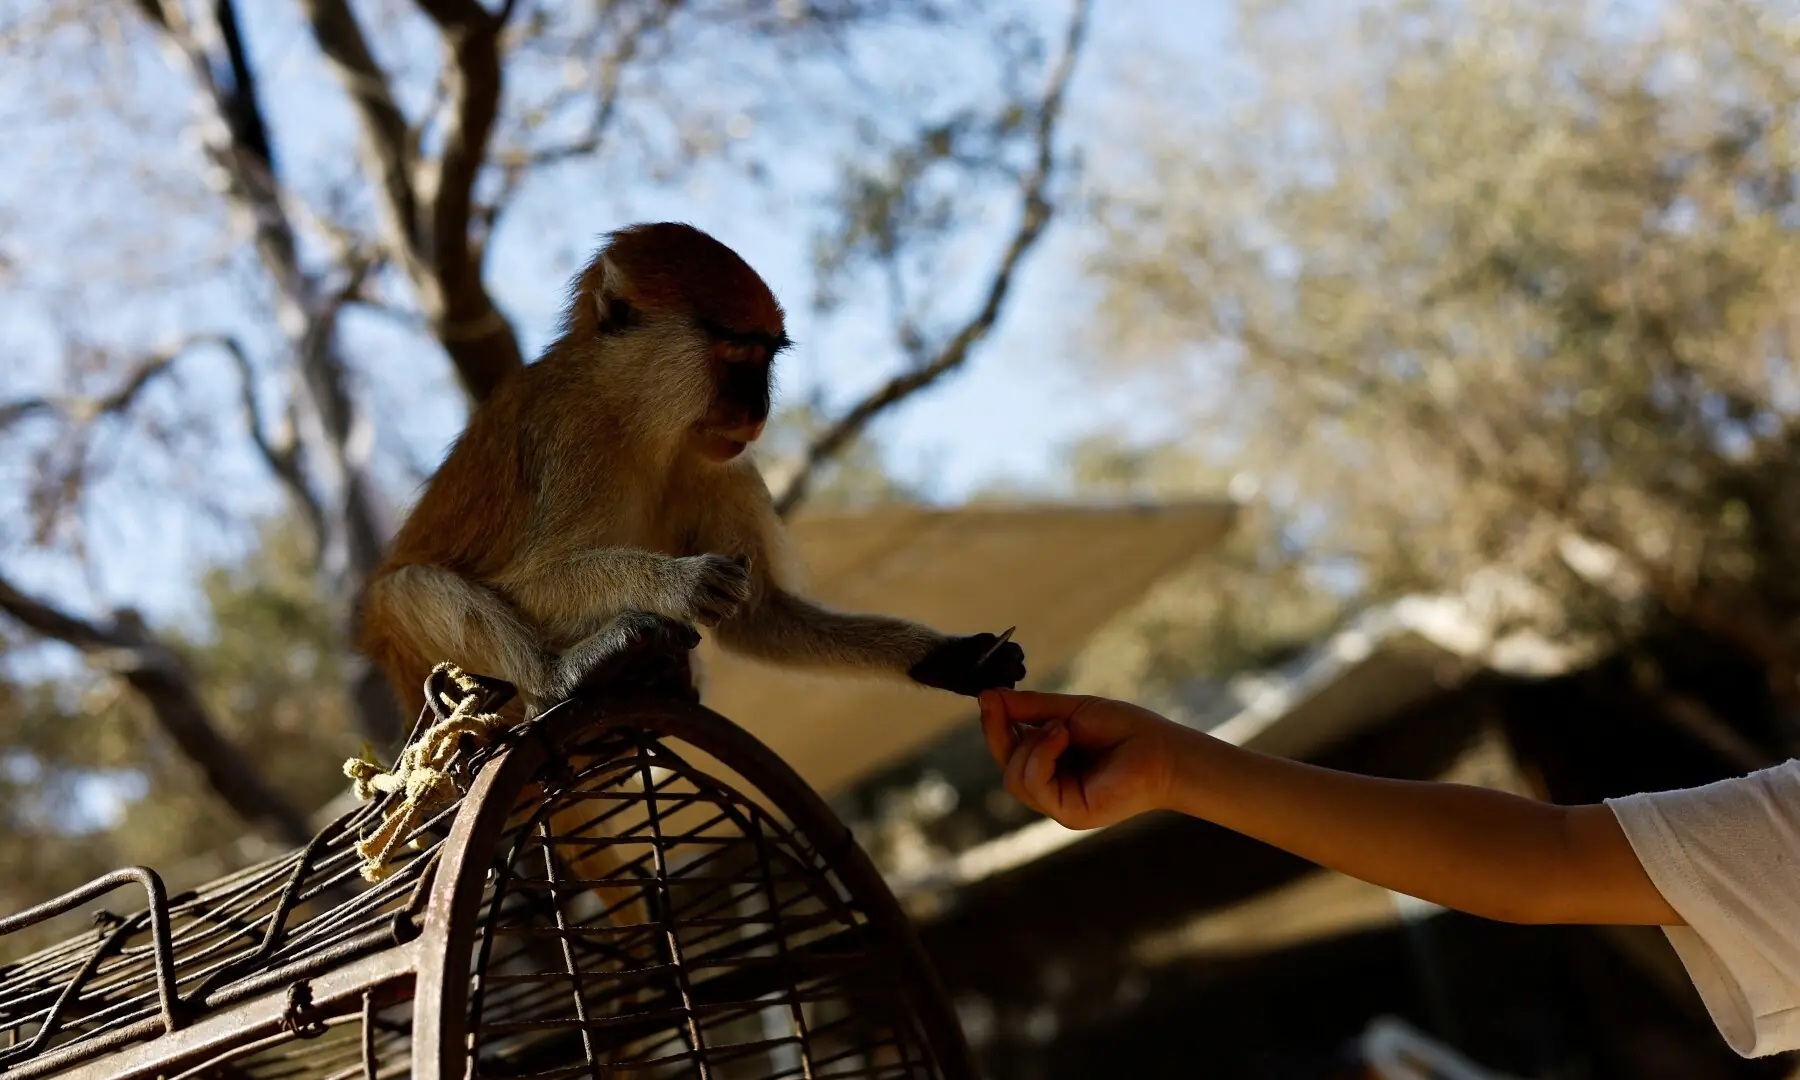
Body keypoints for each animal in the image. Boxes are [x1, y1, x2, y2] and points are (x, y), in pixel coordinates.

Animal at [358, 222, 1025, 729]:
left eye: (766, 359)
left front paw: (951, 658)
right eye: (736, 359)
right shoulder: (574, 437)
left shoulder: (716, 465)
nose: (757, 410)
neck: (638, 417)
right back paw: (565, 676)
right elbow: (523, 582)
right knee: (409, 588)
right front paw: (674, 583)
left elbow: (762, 619)